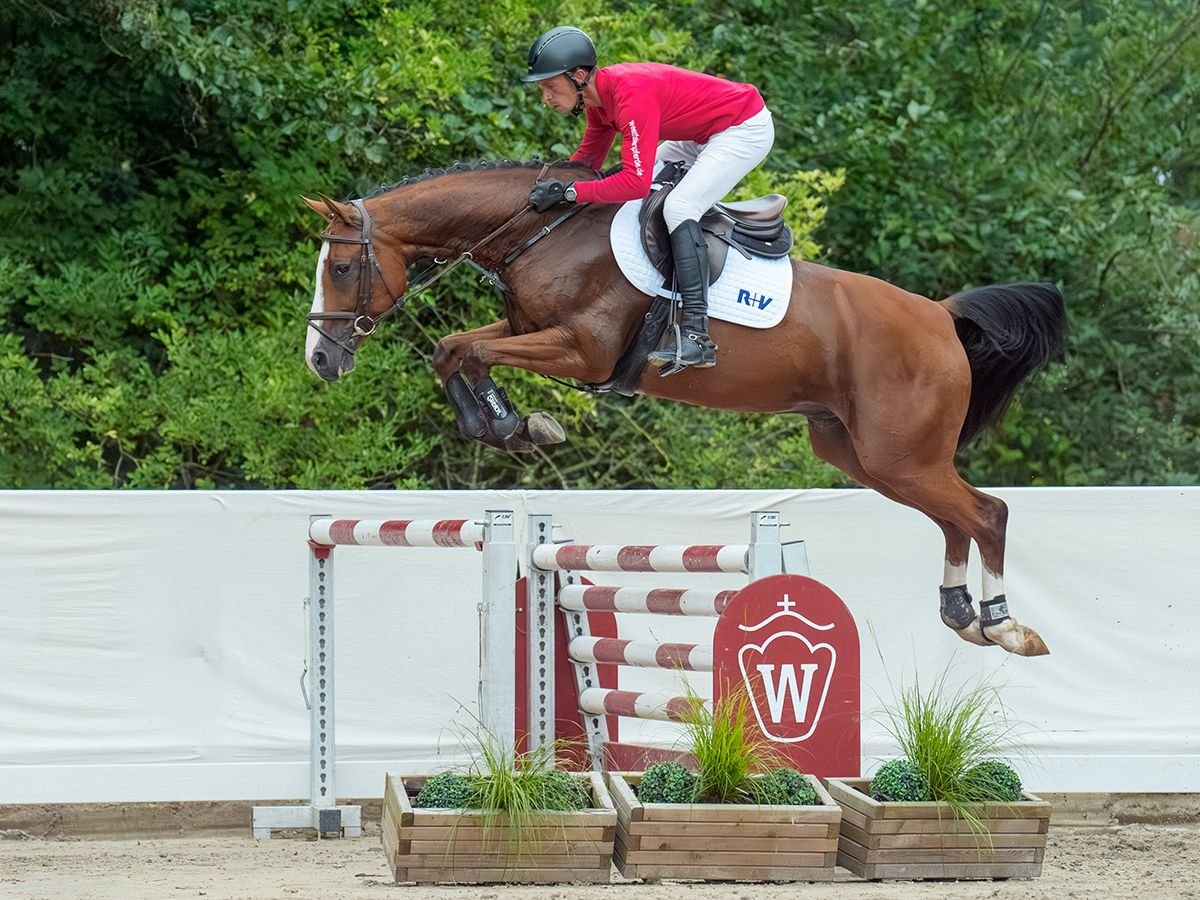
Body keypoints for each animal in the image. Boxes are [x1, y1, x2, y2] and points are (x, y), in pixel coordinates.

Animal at [304, 160, 1065, 657]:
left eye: (340, 269)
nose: (319, 360)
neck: (543, 234)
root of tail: (941, 316)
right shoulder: (531, 333)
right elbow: (454, 349)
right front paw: (507, 427)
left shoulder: (581, 352)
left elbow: (469, 351)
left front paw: (516, 425)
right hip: (864, 455)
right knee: (955, 517)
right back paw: (962, 615)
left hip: (898, 455)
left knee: (985, 513)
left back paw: (1002, 626)